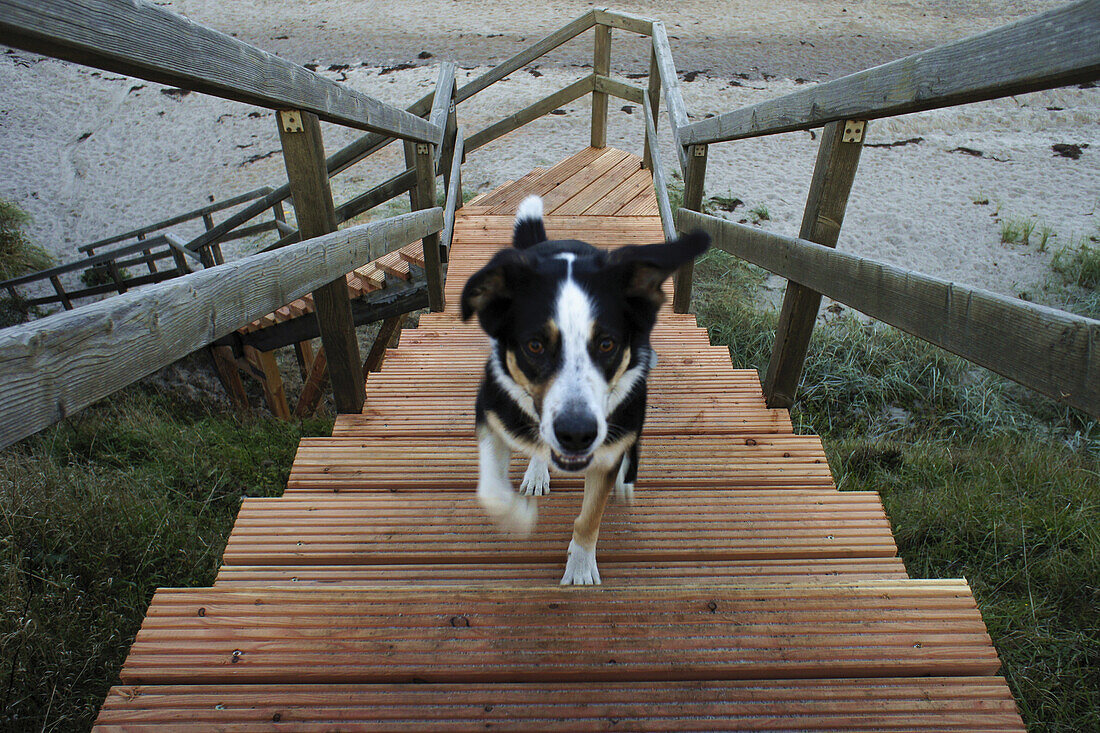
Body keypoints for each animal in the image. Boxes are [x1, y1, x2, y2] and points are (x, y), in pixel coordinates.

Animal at [459, 193, 708, 581]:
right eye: (534, 345)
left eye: (607, 344)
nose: (576, 434)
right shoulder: (490, 409)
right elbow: (492, 491)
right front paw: (520, 515)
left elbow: (590, 516)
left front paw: (580, 566)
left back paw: (623, 478)